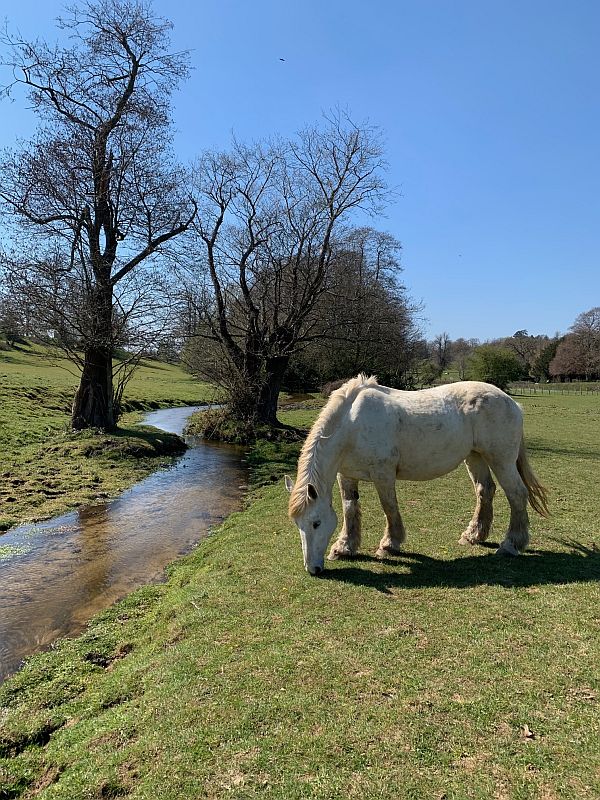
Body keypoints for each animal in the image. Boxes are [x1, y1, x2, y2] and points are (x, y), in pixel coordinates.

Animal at [286, 376, 548, 576]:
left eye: (316, 523)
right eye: (298, 524)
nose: (313, 569)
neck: (353, 424)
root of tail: (511, 402)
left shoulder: (383, 474)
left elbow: (389, 507)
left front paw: (389, 545)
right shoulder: (347, 475)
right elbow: (349, 508)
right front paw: (344, 547)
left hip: (501, 460)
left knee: (517, 494)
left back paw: (511, 544)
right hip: (475, 457)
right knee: (485, 491)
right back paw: (473, 536)